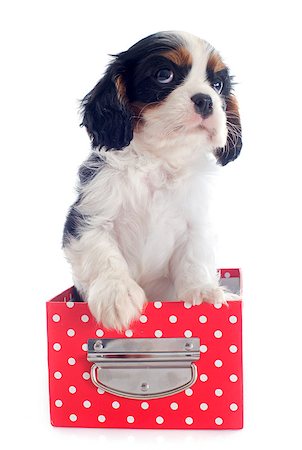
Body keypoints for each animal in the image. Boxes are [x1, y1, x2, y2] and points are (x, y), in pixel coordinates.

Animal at [62, 30, 242, 330]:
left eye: (217, 85)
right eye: (163, 75)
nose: (206, 100)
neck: (158, 161)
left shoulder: (195, 224)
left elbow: (194, 259)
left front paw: (203, 291)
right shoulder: (90, 216)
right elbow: (103, 255)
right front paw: (117, 294)